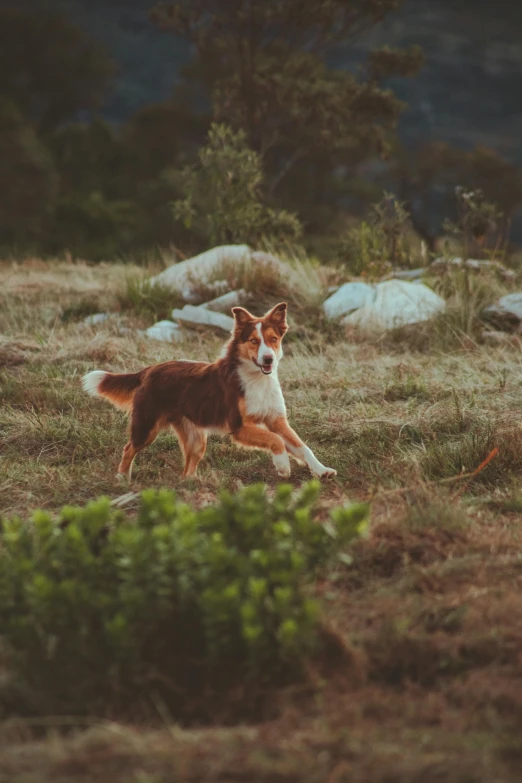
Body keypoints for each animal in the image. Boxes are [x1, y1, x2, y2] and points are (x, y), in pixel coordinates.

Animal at [80, 304, 334, 480]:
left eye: (273, 339)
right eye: (253, 341)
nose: (268, 358)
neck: (256, 379)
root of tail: (149, 370)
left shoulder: (276, 420)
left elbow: (302, 447)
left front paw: (322, 470)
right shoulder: (239, 426)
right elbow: (275, 440)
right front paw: (282, 466)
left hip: (196, 440)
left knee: (188, 465)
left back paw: (189, 483)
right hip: (147, 426)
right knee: (128, 448)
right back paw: (122, 478)